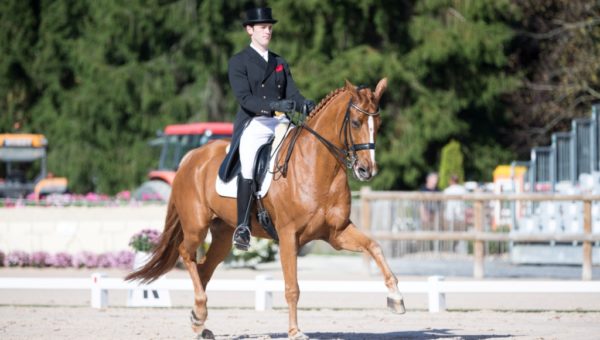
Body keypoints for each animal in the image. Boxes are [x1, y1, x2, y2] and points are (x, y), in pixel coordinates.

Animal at [128, 78, 406, 338]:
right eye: (356, 123)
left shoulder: (336, 233)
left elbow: (374, 247)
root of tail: (191, 157)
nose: (367, 170)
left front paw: (396, 298)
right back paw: (199, 311)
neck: (317, 166)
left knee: (203, 269)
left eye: (379, 125)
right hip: (196, 225)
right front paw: (295, 331)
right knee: (186, 254)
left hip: (223, 236)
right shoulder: (288, 236)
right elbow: (292, 287)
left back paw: (199, 322)